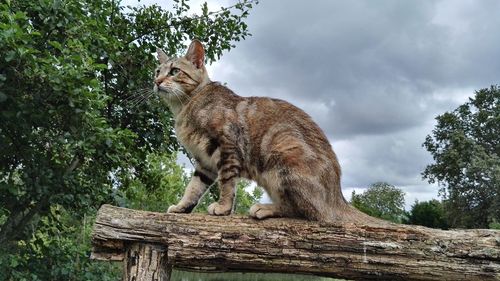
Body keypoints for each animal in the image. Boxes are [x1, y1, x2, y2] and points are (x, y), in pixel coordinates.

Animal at [154, 40, 376, 223]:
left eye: (174, 71)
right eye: (157, 71)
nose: (156, 82)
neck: (186, 106)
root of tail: (337, 198)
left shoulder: (227, 146)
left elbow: (227, 183)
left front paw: (223, 208)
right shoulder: (204, 162)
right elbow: (193, 188)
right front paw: (182, 207)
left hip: (283, 154)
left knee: (306, 211)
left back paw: (265, 208)